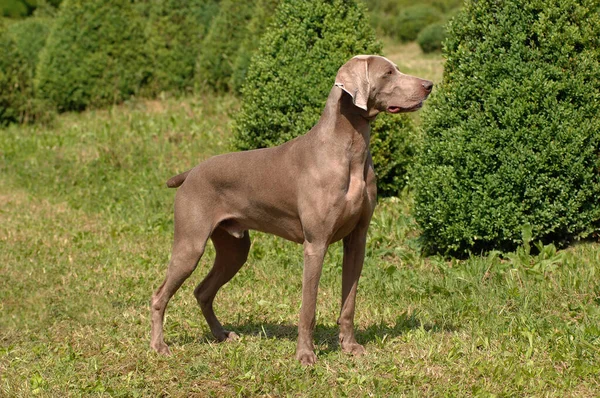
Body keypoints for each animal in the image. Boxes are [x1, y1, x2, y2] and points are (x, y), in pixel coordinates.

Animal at [150, 54, 432, 366]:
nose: (429, 85)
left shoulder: (357, 239)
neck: (348, 151)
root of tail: (190, 172)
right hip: (190, 244)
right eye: (388, 73)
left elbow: (349, 302)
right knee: (159, 295)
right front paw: (305, 354)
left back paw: (221, 335)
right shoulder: (315, 244)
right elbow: (308, 308)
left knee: (203, 291)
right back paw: (159, 346)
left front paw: (349, 346)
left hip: (235, 249)